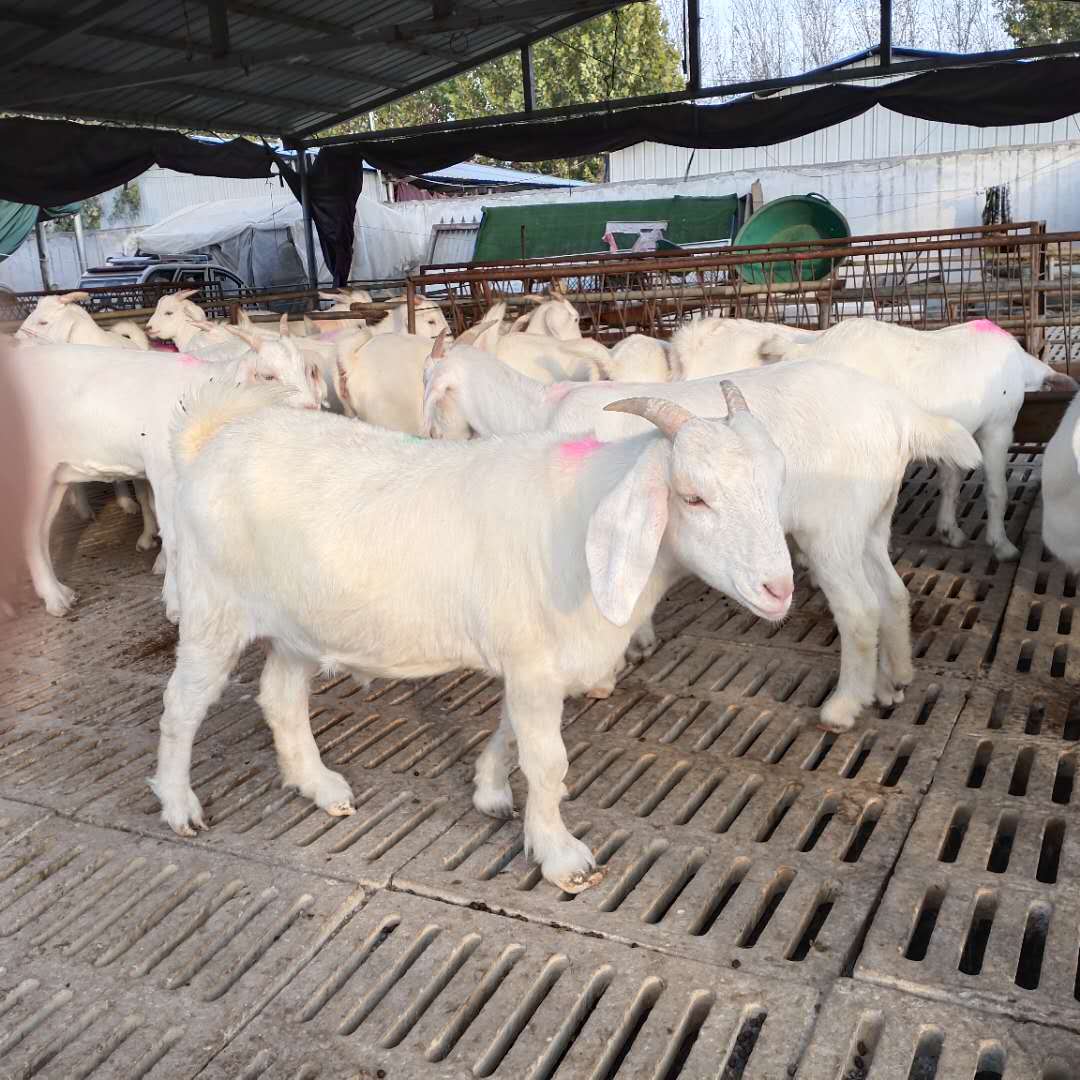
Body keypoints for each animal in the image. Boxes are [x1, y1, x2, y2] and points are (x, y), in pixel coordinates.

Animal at [154, 375, 794, 889]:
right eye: (693, 497)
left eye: (774, 487)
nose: (778, 589)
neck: (580, 519)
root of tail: (209, 444)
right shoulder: (532, 662)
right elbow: (548, 762)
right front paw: (562, 856)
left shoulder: (531, 661)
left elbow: (511, 734)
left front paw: (491, 793)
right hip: (213, 609)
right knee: (182, 707)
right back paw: (179, 806)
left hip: (298, 625)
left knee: (281, 698)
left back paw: (321, 788)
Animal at [425, 343, 984, 734]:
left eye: (431, 386)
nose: (430, 436)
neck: (536, 414)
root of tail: (899, 412)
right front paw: (640, 644)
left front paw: (605, 675)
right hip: (870, 518)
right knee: (893, 591)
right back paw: (893, 683)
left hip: (832, 526)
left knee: (859, 610)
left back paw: (844, 707)